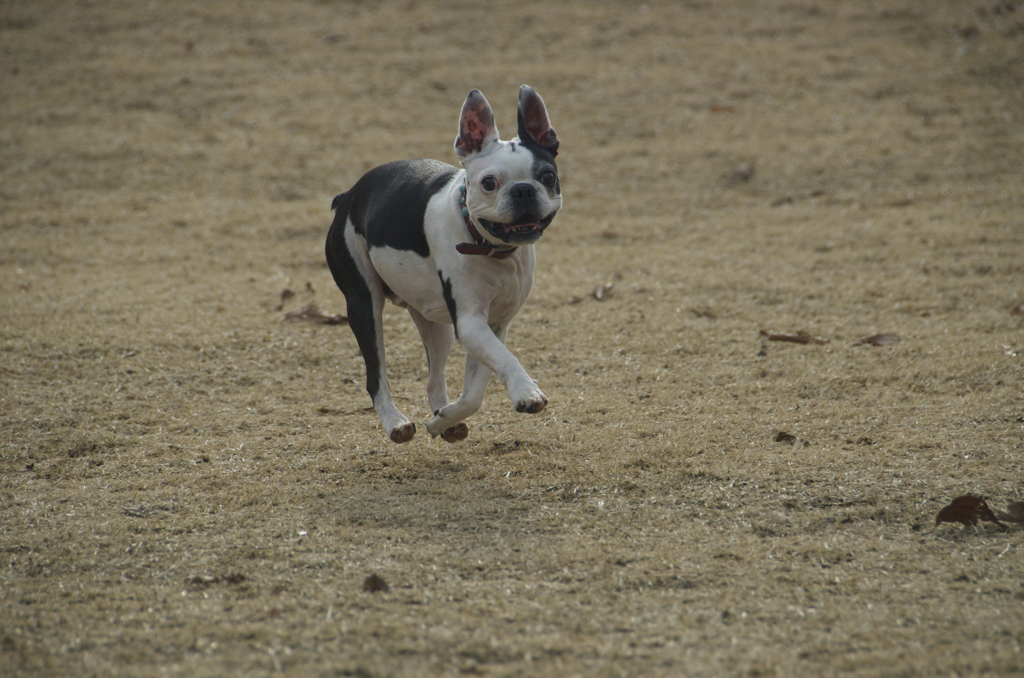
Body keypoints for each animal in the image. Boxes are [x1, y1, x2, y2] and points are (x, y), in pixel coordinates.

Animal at [325, 85, 561, 446]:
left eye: (547, 176)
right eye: (489, 183)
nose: (523, 190)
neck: (491, 248)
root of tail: (348, 195)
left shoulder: (492, 325)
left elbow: (476, 390)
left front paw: (443, 420)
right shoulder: (471, 323)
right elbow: (506, 359)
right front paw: (526, 392)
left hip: (436, 324)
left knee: (434, 378)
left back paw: (445, 421)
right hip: (364, 305)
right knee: (376, 376)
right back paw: (395, 422)